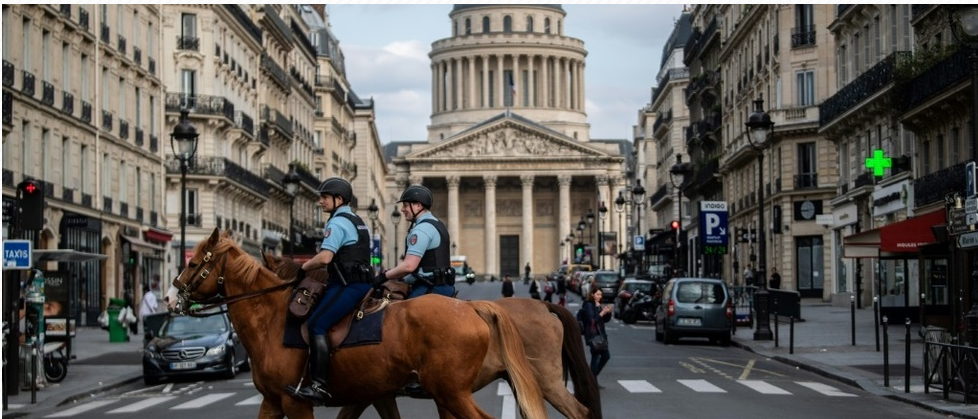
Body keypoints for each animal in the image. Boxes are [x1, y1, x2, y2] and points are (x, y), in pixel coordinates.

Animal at [171, 230, 544, 419]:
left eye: (196, 262)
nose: (172, 298)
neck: (273, 320)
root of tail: (473, 307)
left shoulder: (297, 402)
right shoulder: (279, 401)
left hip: (451, 391)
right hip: (447, 392)